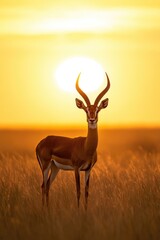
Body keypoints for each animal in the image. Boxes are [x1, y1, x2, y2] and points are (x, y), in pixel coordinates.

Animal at [35, 72, 110, 209]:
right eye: (86, 110)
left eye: (97, 110)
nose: (92, 119)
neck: (86, 147)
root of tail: (42, 142)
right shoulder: (76, 168)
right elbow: (78, 190)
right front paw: (78, 211)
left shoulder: (88, 169)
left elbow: (86, 192)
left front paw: (85, 211)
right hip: (45, 165)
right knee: (43, 186)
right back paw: (43, 210)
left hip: (55, 167)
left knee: (47, 186)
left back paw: (48, 210)